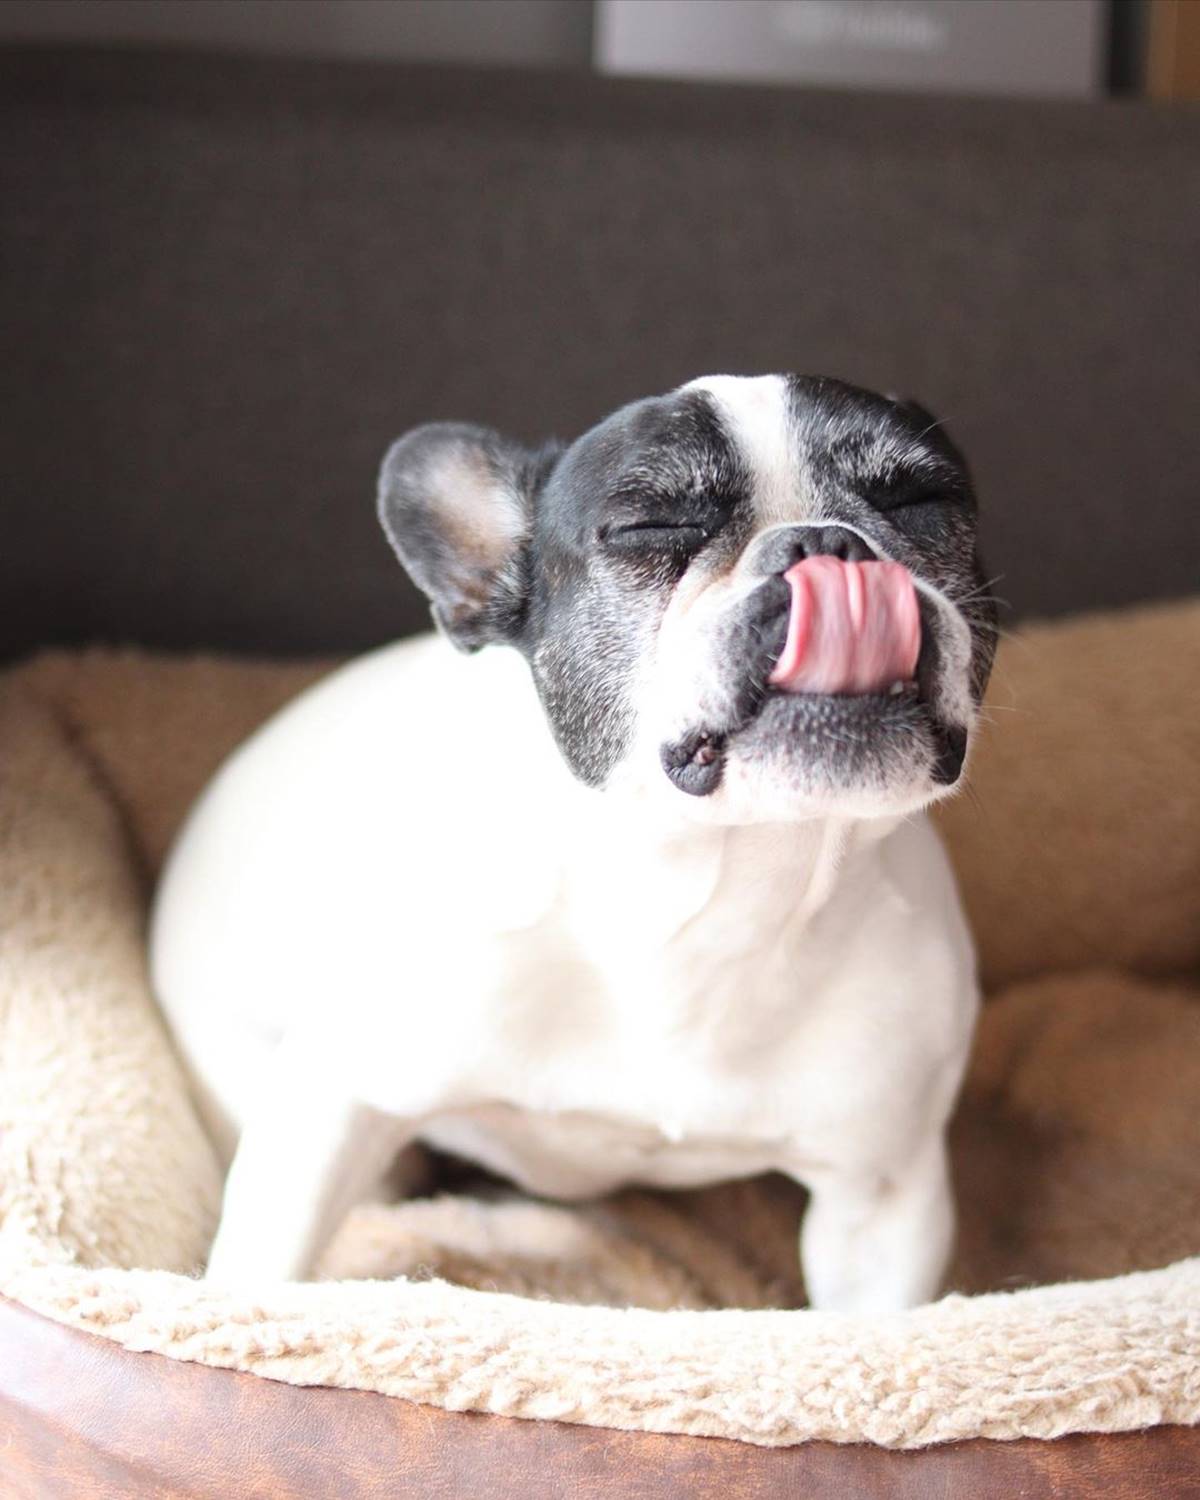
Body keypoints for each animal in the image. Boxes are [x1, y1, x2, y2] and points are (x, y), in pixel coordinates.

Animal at [150, 372, 996, 1314]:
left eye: (922, 501)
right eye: (650, 528)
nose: (826, 543)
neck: (715, 891)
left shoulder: (883, 1195)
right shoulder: (332, 1101)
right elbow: (263, 1268)